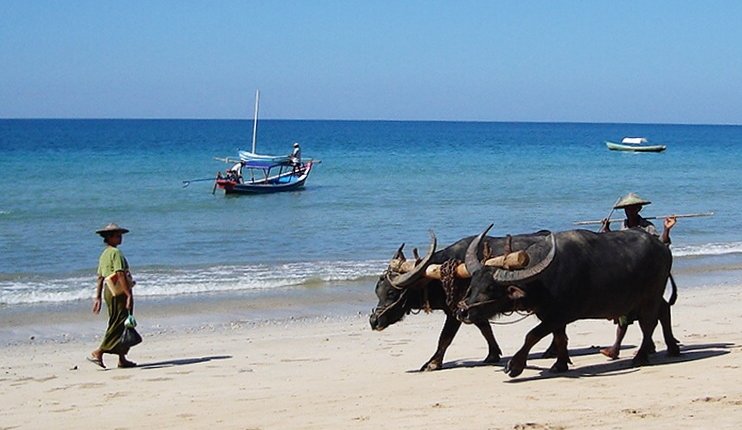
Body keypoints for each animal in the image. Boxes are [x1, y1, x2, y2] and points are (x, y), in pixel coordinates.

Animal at [370, 230, 552, 372]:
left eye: (392, 293)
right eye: (378, 292)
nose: (374, 321)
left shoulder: (455, 312)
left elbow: (445, 337)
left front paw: (432, 363)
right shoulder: (470, 308)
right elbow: (485, 328)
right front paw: (492, 354)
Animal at [460, 227, 680, 378]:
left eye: (491, 288)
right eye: (473, 283)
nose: (463, 312)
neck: (542, 280)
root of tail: (662, 247)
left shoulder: (559, 315)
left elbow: (532, 335)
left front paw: (515, 366)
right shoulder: (551, 316)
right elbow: (560, 338)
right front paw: (560, 364)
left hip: (650, 296)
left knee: (649, 323)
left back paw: (641, 356)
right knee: (663, 311)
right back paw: (671, 348)